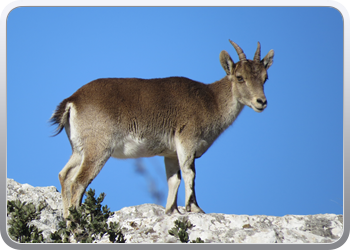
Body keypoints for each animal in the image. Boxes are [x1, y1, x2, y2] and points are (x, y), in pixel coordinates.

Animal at [50, 40, 274, 218]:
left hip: (79, 149)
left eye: (265, 77)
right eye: (240, 77)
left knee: (64, 175)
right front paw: (194, 208)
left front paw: (171, 211)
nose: (261, 102)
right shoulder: (187, 140)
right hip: (98, 149)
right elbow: (190, 173)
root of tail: (73, 101)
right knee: (78, 182)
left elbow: (173, 180)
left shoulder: (170, 153)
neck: (211, 101)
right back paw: (77, 226)